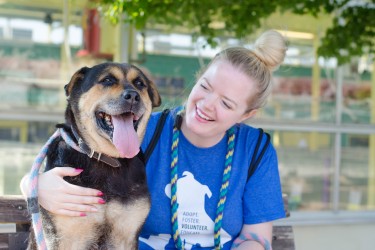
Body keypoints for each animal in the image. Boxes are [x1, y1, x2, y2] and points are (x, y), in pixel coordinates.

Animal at [26, 62, 162, 248]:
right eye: (107, 80)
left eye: (140, 84)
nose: (133, 96)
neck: (106, 159)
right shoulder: (64, 238)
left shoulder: (125, 237)